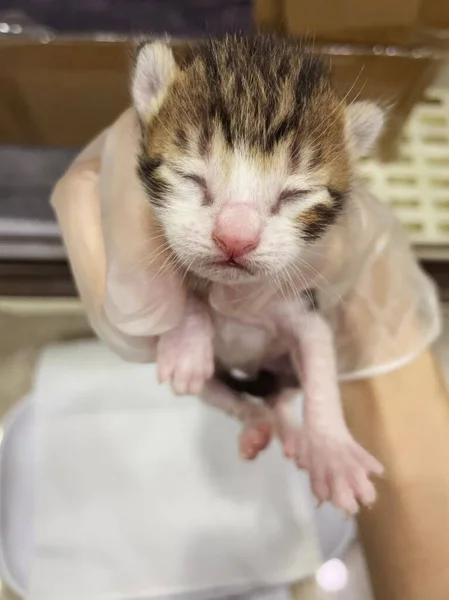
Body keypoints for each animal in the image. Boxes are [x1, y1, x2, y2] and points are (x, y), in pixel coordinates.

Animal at [131, 32, 384, 512]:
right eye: (192, 178)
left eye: (294, 195)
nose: (235, 238)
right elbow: (184, 286)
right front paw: (188, 339)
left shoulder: (306, 308)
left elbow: (320, 373)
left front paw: (333, 451)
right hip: (219, 379)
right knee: (230, 396)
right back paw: (254, 422)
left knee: (284, 393)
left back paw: (294, 433)